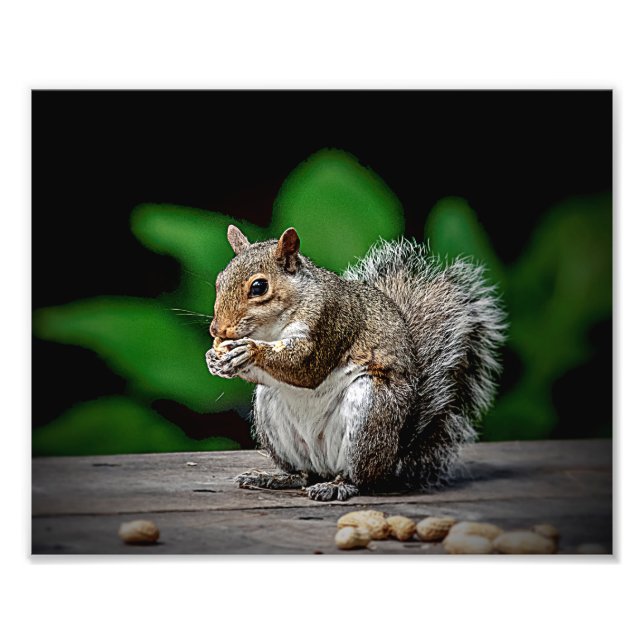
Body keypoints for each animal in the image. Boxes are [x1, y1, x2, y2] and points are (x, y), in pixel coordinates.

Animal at [205, 225, 506, 501]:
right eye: (219, 281)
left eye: (259, 287)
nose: (216, 330)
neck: (271, 329)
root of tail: (394, 456)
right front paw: (214, 359)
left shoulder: (331, 321)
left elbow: (305, 368)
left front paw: (249, 350)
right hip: (272, 411)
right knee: (303, 474)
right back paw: (276, 478)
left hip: (370, 412)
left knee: (359, 478)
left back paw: (338, 486)